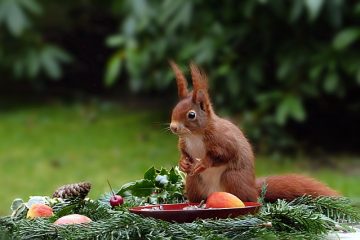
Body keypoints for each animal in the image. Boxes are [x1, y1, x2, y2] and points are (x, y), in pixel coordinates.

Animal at [170, 62, 338, 202]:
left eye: (191, 115)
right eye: (174, 109)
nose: (173, 127)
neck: (194, 135)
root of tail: (253, 188)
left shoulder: (222, 139)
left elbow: (226, 153)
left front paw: (203, 163)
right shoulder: (184, 143)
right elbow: (184, 152)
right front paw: (183, 162)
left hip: (233, 178)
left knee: (249, 197)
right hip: (193, 182)